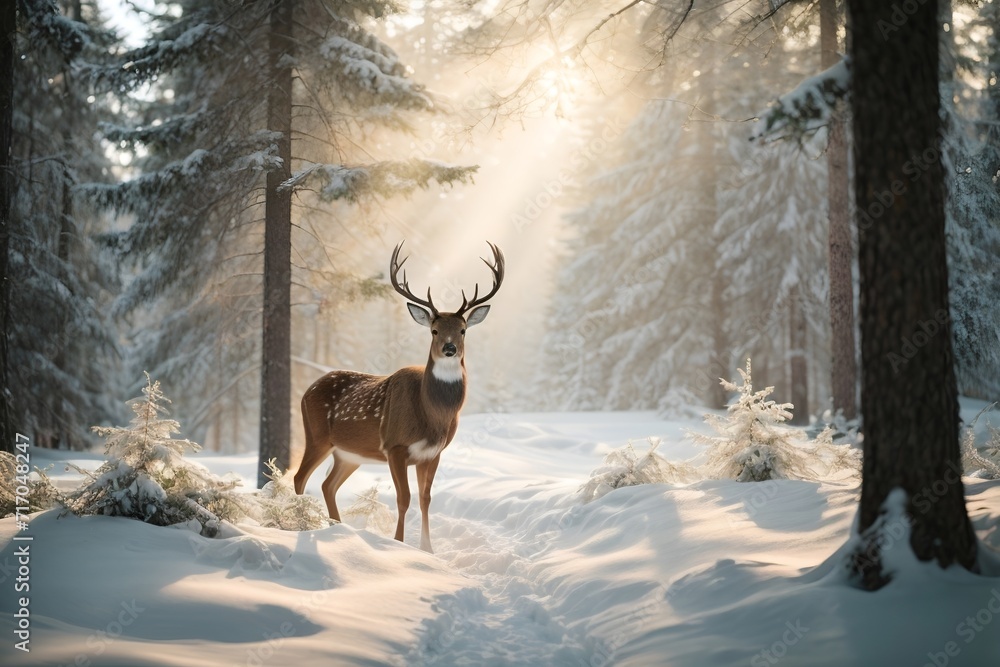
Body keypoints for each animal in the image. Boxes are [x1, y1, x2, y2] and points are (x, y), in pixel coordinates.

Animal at [293, 241, 504, 553]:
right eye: (434, 330)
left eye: (463, 330)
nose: (450, 348)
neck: (432, 415)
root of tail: (307, 390)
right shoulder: (394, 445)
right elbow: (403, 498)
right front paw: (399, 544)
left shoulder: (433, 452)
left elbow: (425, 498)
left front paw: (428, 549)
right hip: (317, 435)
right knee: (300, 477)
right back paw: (300, 525)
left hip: (348, 454)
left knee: (327, 485)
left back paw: (337, 527)